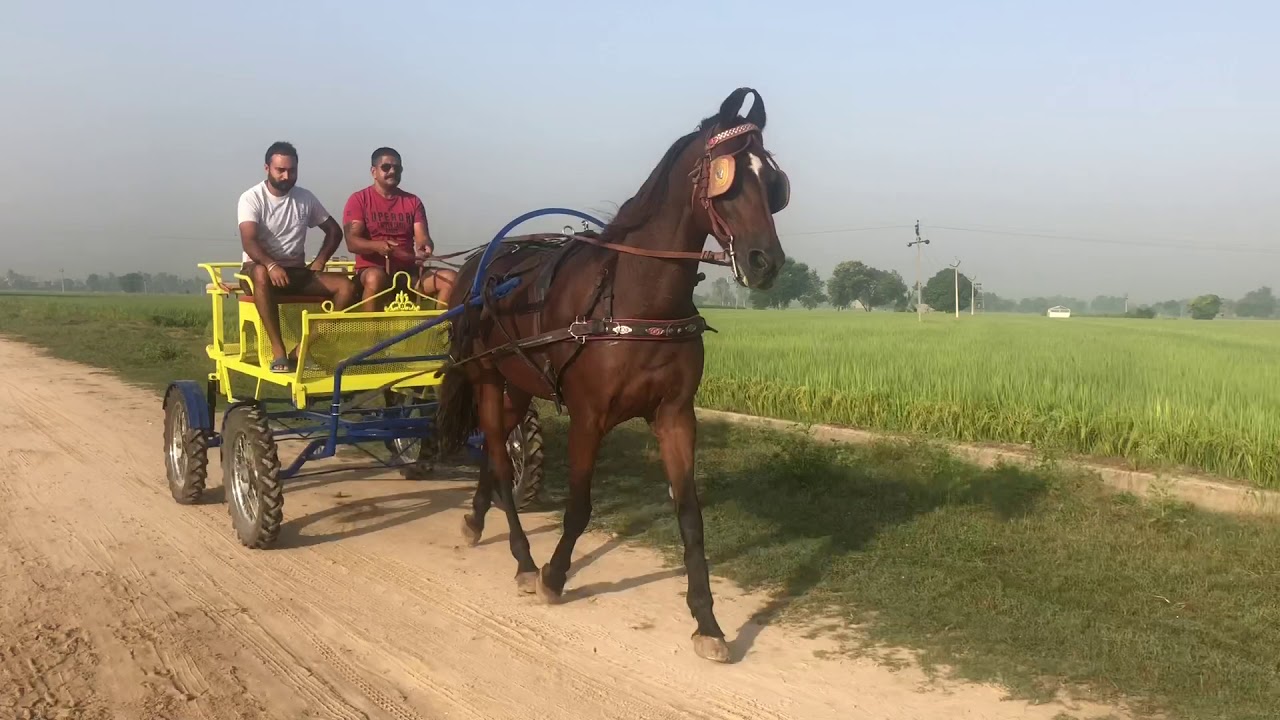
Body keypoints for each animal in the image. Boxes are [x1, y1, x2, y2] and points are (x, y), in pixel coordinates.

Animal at [433, 87, 790, 662]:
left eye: (774, 182)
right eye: (727, 176)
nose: (766, 261)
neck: (636, 301)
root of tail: (475, 267)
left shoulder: (676, 416)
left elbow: (690, 516)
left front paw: (707, 622)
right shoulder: (589, 416)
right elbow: (579, 506)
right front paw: (554, 576)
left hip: (518, 382)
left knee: (495, 449)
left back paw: (475, 519)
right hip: (486, 375)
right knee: (500, 460)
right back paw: (523, 558)